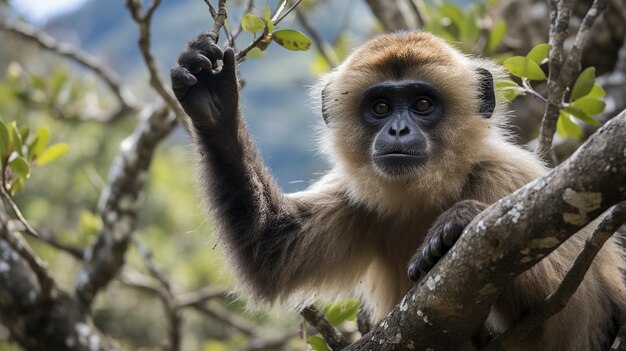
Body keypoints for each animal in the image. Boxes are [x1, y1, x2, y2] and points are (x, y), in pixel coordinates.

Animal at [171, 31, 624, 350]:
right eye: (381, 108)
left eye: (422, 104)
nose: (399, 130)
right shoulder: (356, 197)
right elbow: (268, 250)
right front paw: (213, 100)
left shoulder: (508, 178)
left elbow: (569, 306)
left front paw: (458, 223)